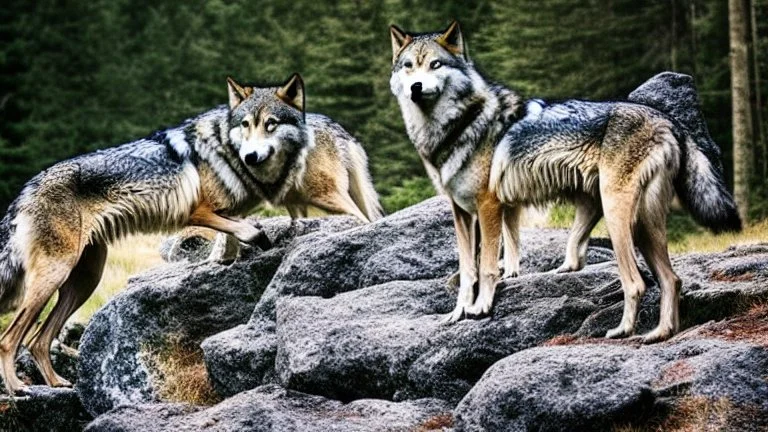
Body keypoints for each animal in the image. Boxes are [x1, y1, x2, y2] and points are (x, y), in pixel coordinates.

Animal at [0, 72, 382, 394]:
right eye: (246, 125)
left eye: (270, 125)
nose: (251, 156)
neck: (229, 152)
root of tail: (26, 190)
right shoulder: (195, 212)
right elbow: (243, 230)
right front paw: (254, 241)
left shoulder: (235, 209)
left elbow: (231, 237)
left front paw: (228, 259)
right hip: (55, 276)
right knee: (10, 337)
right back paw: (18, 388)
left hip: (83, 281)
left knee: (36, 339)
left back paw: (57, 384)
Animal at [392, 21, 740, 344]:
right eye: (409, 66)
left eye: (435, 64)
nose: (416, 87)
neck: (457, 126)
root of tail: (667, 119)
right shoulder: (463, 213)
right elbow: (467, 271)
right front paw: (457, 314)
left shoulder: (490, 206)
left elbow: (488, 266)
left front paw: (481, 309)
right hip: (642, 225)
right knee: (672, 279)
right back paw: (660, 334)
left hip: (617, 218)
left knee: (637, 282)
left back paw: (623, 331)